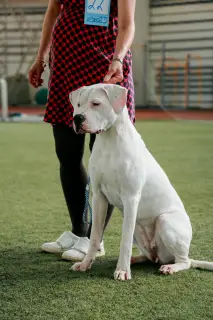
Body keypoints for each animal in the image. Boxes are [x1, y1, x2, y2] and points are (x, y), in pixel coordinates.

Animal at [69, 84, 212, 280]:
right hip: (138, 227)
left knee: (184, 261)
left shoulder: (130, 198)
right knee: (150, 257)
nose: (77, 118)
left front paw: (122, 271)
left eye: (96, 103)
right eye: (78, 104)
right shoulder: (98, 197)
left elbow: (125, 241)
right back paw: (135, 260)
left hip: (165, 221)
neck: (109, 140)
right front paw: (85, 264)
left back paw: (170, 267)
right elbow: (95, 236)